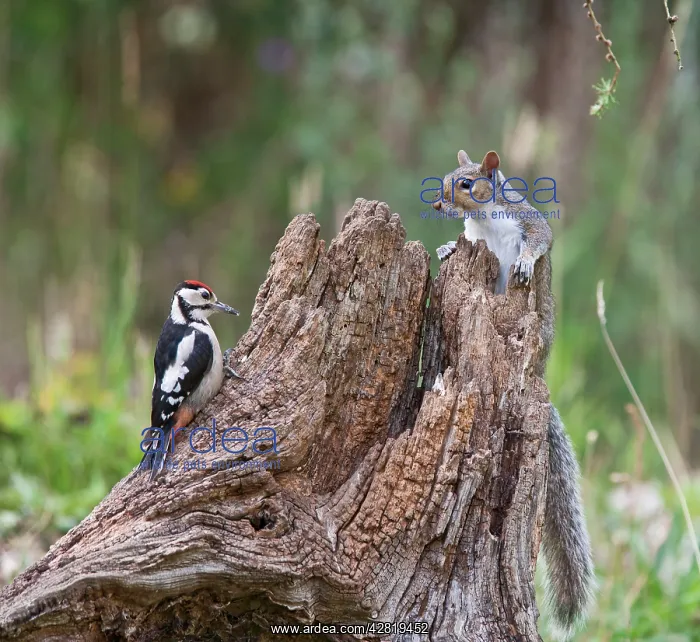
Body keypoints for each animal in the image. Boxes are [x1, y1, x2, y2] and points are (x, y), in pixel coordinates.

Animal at [433, 149, 595, 640]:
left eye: (467, 184)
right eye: (445, 178)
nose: (438, 205)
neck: (484, 221)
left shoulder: (529, 220)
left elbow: (540, 239)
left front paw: (524, 259)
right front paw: (445, 249)